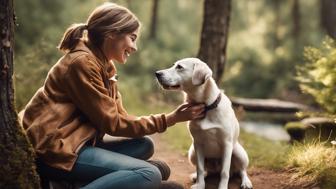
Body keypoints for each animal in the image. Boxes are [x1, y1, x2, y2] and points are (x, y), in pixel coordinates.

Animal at [155, 58, 252, 189]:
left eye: (179, 67)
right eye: (173, 65)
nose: (157, 73)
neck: (206, 107)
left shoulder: (227, 144)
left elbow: (224, 172)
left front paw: (222, 187)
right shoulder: (198, 143)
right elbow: (200, 169)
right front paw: (200, 185)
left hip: (238, 152)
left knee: (241, 170)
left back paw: (246, 182)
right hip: (192, 153)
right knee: (206, 170)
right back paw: (196, 177)